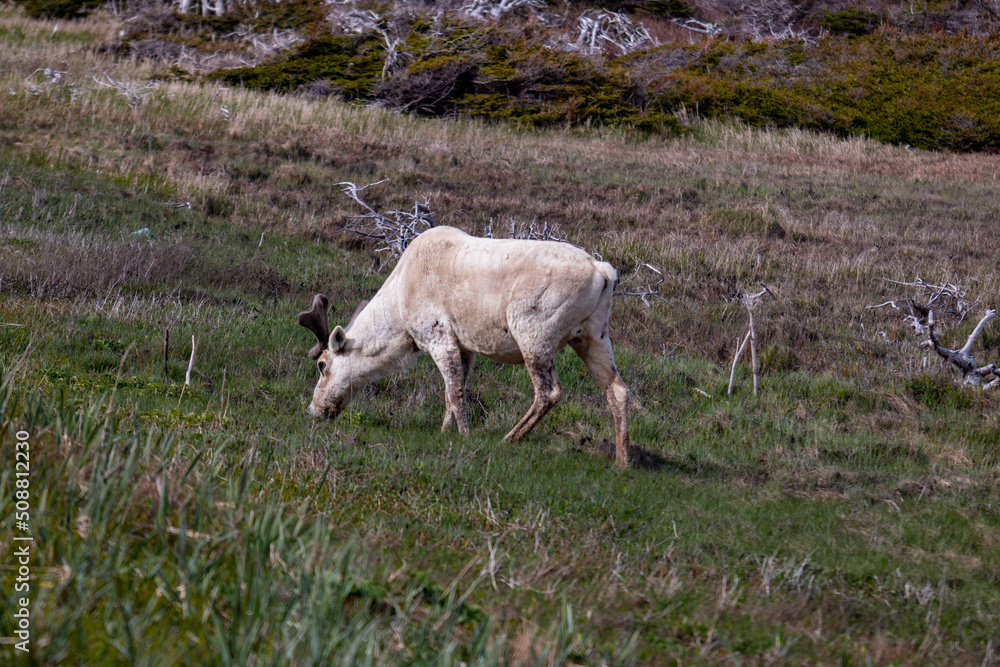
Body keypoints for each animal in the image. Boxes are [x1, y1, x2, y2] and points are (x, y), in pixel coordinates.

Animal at [297, 226, 631, 466]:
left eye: (322, 365)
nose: (314, 410)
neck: (399, 317)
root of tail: (603, 271)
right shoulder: (465, 346)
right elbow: (451, 391)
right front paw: (446, 430)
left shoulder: (438, 335)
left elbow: (455, 391)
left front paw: (465, 435)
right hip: (593, 335)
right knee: (618, 389)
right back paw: (622, 460)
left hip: (534, 333)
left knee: (549, 392)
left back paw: (509, 438)